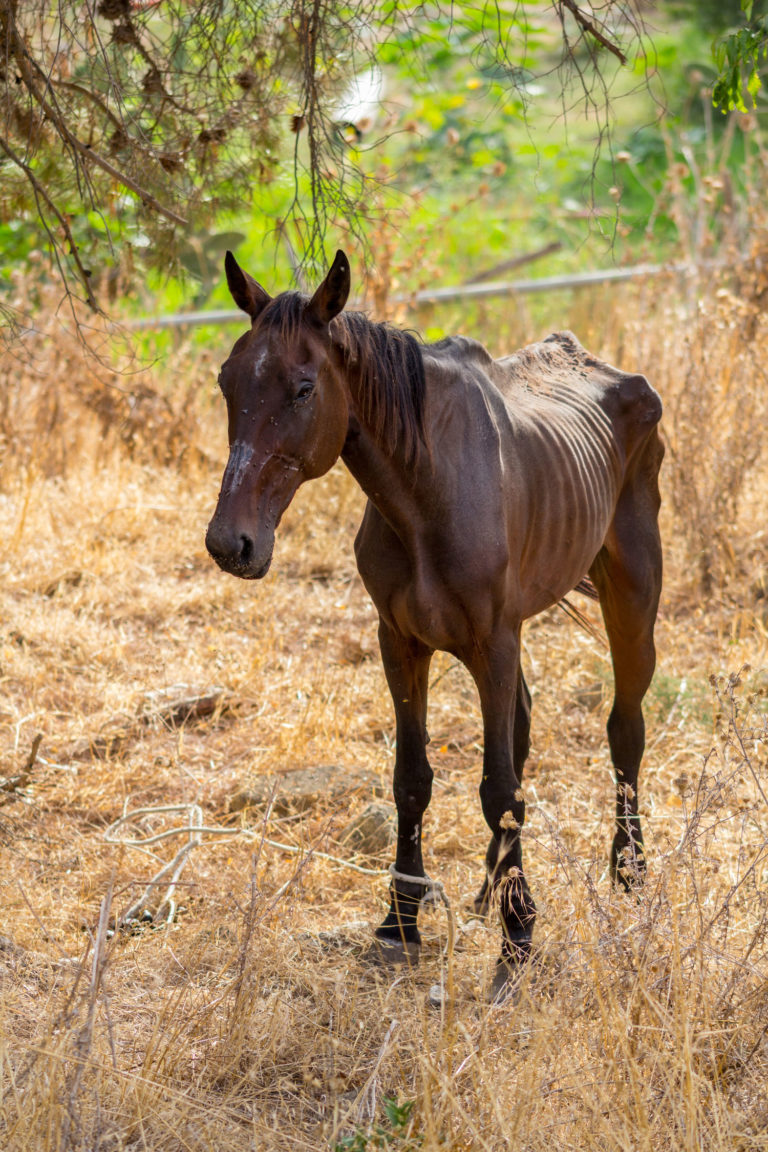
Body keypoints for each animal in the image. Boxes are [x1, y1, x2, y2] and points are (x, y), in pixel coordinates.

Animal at [205, 249, 664, 1001]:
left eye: (303, 388)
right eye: (226, 382)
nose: (229, 543)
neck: (425, 489)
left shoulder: (493, 642)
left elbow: (499, 790)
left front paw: (517, 939)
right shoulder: (401, 643)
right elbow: (413, 777)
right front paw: (400, 922)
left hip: (632, 598)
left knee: (625, 728)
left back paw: (628, 873)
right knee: (526, 727)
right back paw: (489, 887)